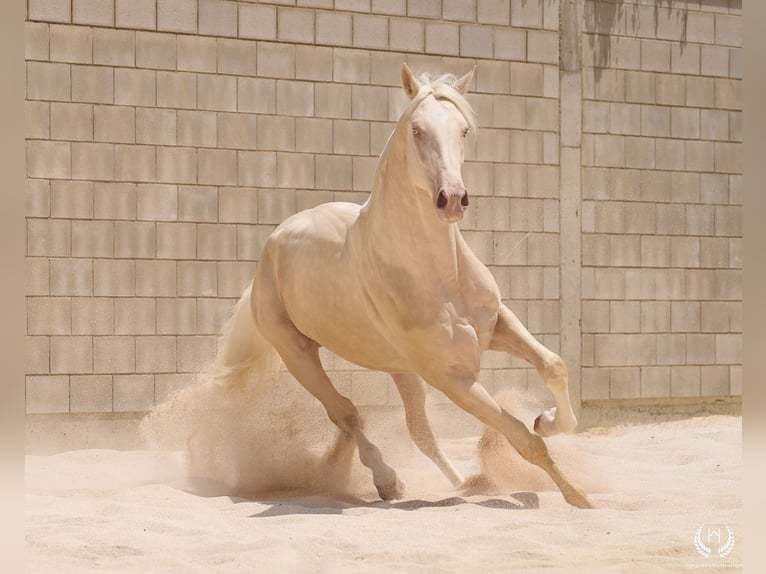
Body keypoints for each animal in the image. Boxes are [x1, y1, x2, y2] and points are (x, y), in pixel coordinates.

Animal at [213, 63, 592, 509]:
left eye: (463, 130)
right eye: (417, 130)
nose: (453, 199)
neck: (442, 276)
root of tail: (272, 247)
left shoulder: (498, 324)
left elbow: (554, 367)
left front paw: (546, 420)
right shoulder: (452, 377)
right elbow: (523, 439)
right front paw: (578, 496)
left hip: (400, 368)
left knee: (417, 430)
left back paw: (464, 483)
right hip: (298, 354)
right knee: (346, 413)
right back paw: (387, 481)